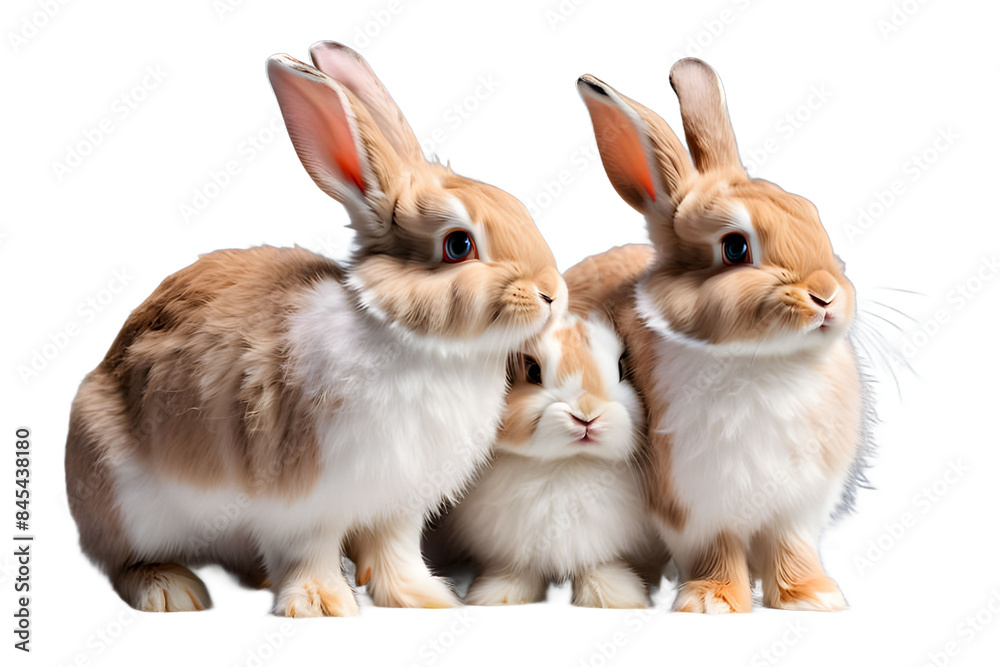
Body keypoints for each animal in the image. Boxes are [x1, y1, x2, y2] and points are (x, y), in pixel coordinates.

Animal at [64, 41, 565, 617]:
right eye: (459, 245)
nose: (553, 293)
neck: (413, 341)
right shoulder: (300, 497)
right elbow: (310, 549)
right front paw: (322, 604)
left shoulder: (400, 503)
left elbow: (396, 551)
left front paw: (425, 599)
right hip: (125, 498)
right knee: (122, 560)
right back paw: (170, 591)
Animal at [439, 251, 666, 608]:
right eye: (532, 370)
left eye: (622, 367)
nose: (586, 415)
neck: (566, 464)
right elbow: (516, 571)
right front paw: (496, 596)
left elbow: (604, 566)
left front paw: (615, 597)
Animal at [575, 59, 870, 613]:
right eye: (735, 248)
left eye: (811, 215)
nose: (826, 296)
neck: (762, 361)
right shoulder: (692, 503)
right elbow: (716, 548)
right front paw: (712, 601)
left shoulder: (798, 506)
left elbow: (792, 547)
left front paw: (812, 597)